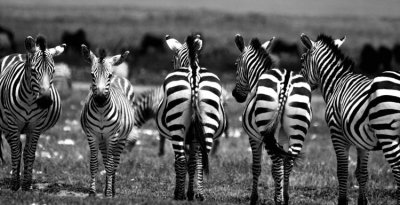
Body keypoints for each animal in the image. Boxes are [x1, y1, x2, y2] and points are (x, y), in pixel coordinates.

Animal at [0, 34, 65, 191]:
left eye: (53, 71)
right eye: (34, 71)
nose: (45, 101)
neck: (30, 100)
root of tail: (19, 54)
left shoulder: (36, 126)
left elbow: (29, 154)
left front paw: (26, 184)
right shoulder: (12, 123)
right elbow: (15, 153)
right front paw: (14, 184)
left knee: (24, 150)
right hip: (6, 126)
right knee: (16, 148)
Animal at [80, 45, 136, 197]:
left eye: (108, 76)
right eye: (92, 75)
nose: (100, 99)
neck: (101, 112)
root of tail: (119, 76)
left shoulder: (113, 136)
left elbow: (111, 165)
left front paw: (110, 193)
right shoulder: (92, 135)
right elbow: (94, 163)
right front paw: (92, 192)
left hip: (121, 138)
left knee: (115, 162)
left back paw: (112, 189)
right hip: (102, 139)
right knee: (106, 160)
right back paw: (106, 188)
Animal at [155, 34, 225, 200]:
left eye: (172, 61)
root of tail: (193, 71)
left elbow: (181, 162)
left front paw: (182, 192)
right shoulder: (194, 137)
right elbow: (192, 162)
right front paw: (191, 192)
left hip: (176, 127)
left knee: (180, 160)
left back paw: (179, 195)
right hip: (208, 122)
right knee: (201, 159)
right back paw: (200, 194)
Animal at [231, 34, 312, 205]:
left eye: (236, 64)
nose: (235, 95)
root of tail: (286, 79)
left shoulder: (254, 138)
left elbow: (257, 167)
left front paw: (254, 198)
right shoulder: (282, 139)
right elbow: (283, 163)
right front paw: (281, 193)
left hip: (266, 131)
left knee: (276, 163)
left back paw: (279, 199)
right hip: (297, 129)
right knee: (288, 161)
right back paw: (285, 198)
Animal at [300, 32, 400, 204]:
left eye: (301, 60)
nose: (300, 85)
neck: (336, 83)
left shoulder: (337, 134)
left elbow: (342, 171)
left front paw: (342, 201)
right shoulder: (363, 141)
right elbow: (362, 173)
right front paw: (362, 201)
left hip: (387, 134)